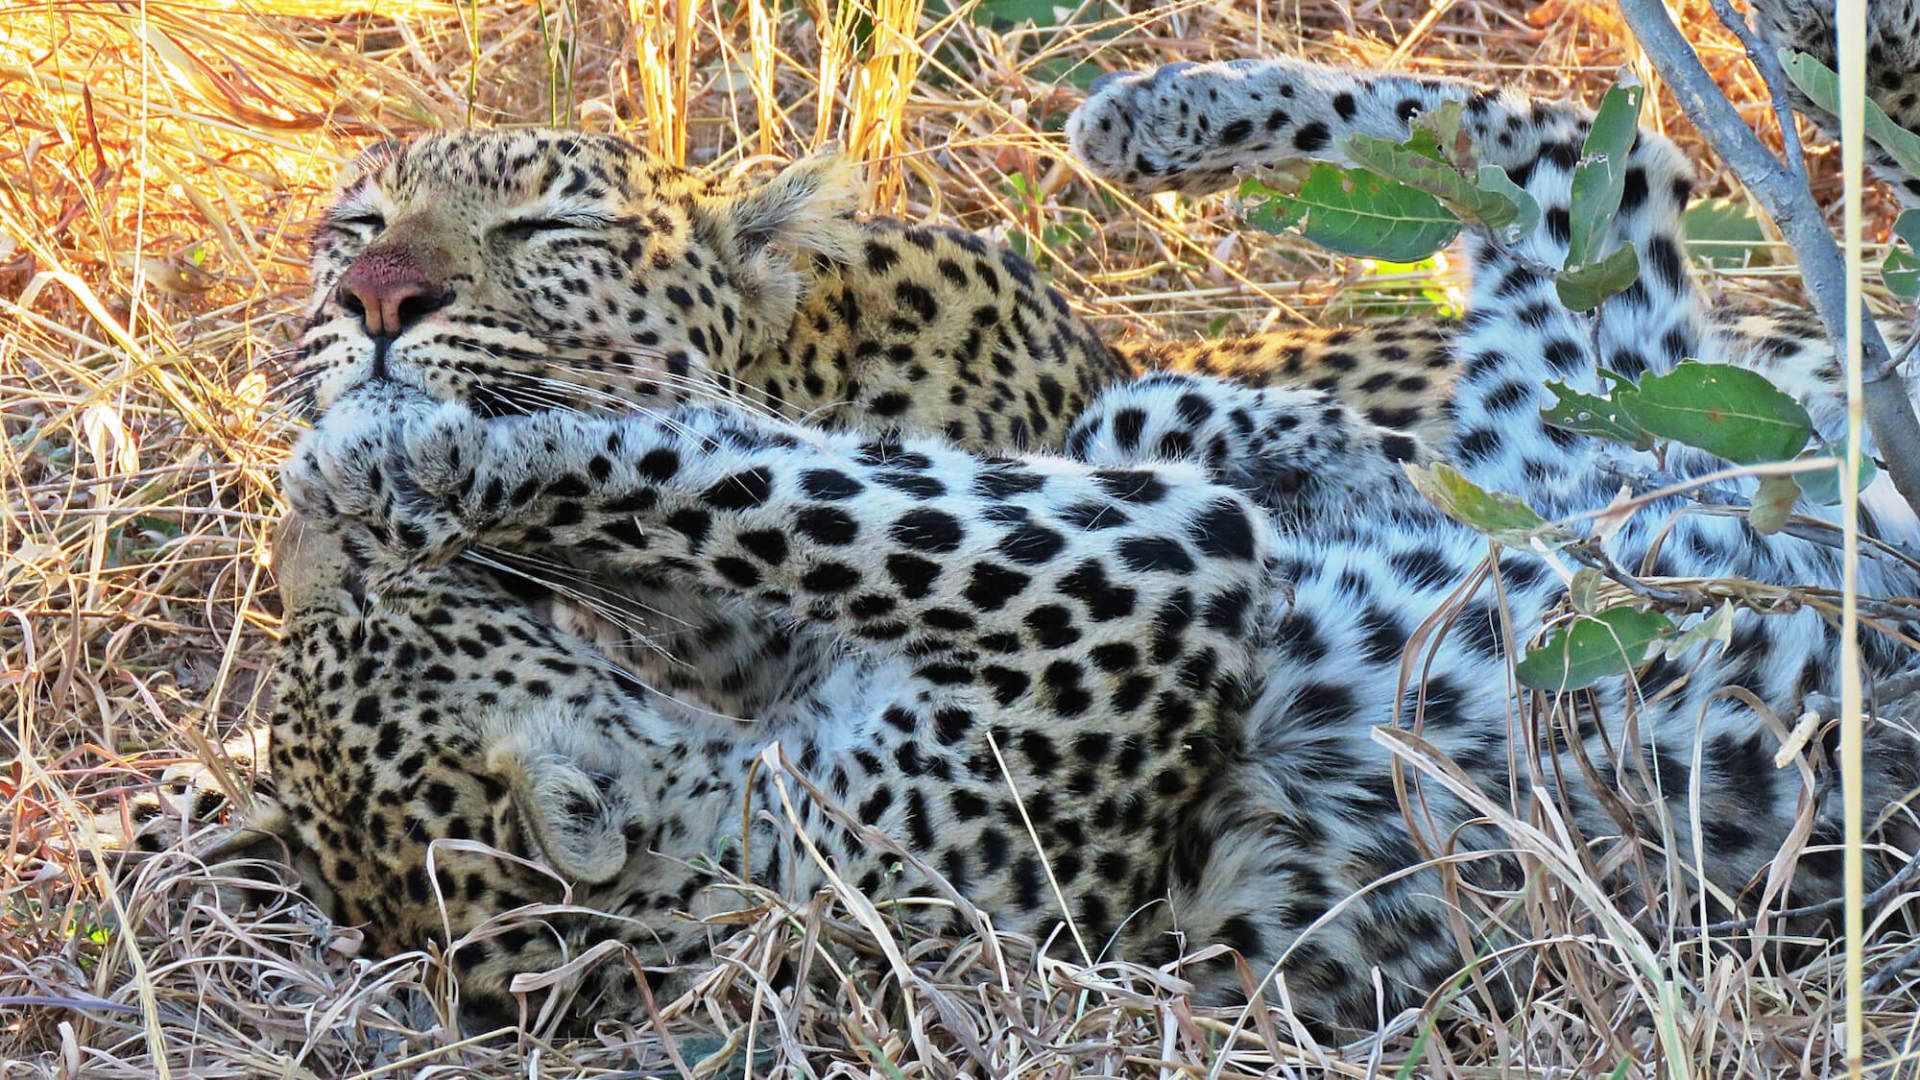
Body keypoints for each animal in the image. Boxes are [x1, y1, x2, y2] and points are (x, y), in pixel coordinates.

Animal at [232, 25, 1920, 1037]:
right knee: (1590, 167)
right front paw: (406, 445)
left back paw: (1162, 125)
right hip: (1603, 417)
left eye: (549, 231)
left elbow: (741, 465)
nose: (369, 300)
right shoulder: (1125, 602)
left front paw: (401, 448)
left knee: (1573, 144)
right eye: (350, 228)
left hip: (1605, 427)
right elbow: (759, 488)